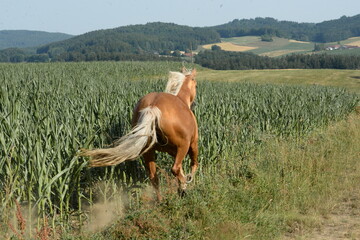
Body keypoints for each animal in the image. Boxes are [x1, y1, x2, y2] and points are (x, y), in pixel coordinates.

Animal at [81, 68, 198, 201]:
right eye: (196, 85)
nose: (194, 104)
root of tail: (153, 107)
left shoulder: (173, 151)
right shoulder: (192, 144)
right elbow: (194, 163)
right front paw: (186, 182)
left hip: (148, 150)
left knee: (154, 176)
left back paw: (161, 200)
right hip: (182, 146)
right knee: (175, 168)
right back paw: (183, 185)